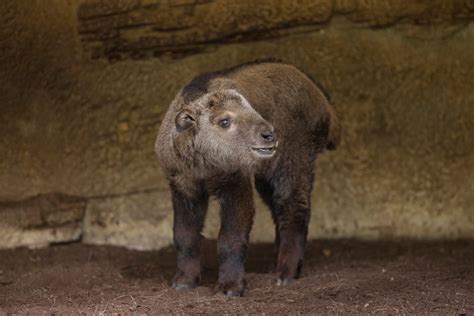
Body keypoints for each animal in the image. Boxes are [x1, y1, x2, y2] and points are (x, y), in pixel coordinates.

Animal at [156, 60, 340, 298]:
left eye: (253, 109)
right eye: (224, 120)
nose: (269, 134)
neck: (205, 167)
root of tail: (325, 105)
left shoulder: (236, 185)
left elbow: (230, 238)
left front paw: (230, 288)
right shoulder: (183, 188)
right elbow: (184, 236)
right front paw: (183, 282)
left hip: (293, 162)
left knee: (294, 210)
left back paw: (285, 275)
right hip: (266, 176)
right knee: (278, 211)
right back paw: (273, 266)